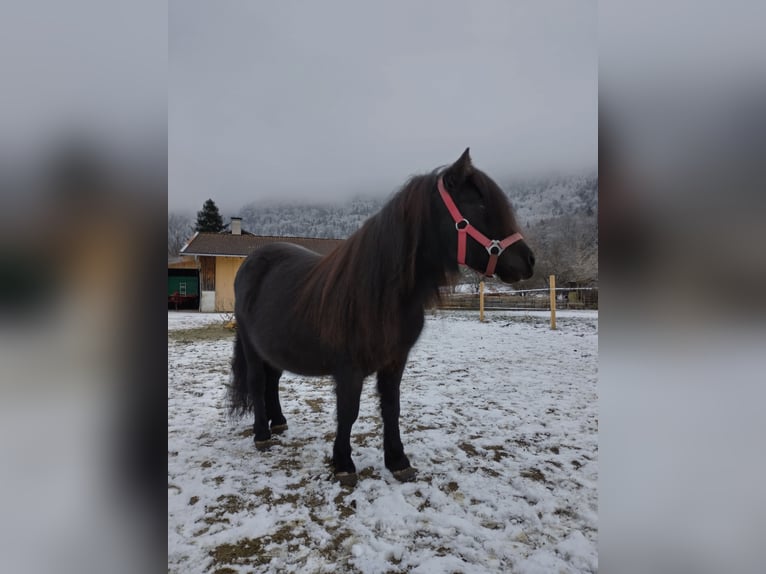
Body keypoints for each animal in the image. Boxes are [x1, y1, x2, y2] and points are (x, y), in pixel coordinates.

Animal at [231, 148, 536, 486]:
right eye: (480, 204)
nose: (529, 260)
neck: (381, 292)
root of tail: (251, 262)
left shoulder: (395, 361)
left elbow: (392, 408)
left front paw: (398, 461)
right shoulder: (348, 369)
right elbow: (348, 412)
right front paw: (343, 464)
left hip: (274, 346)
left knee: (272, 380)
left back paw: (279, 422)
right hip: (251, 345)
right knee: (258, 381)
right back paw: (262, 434)